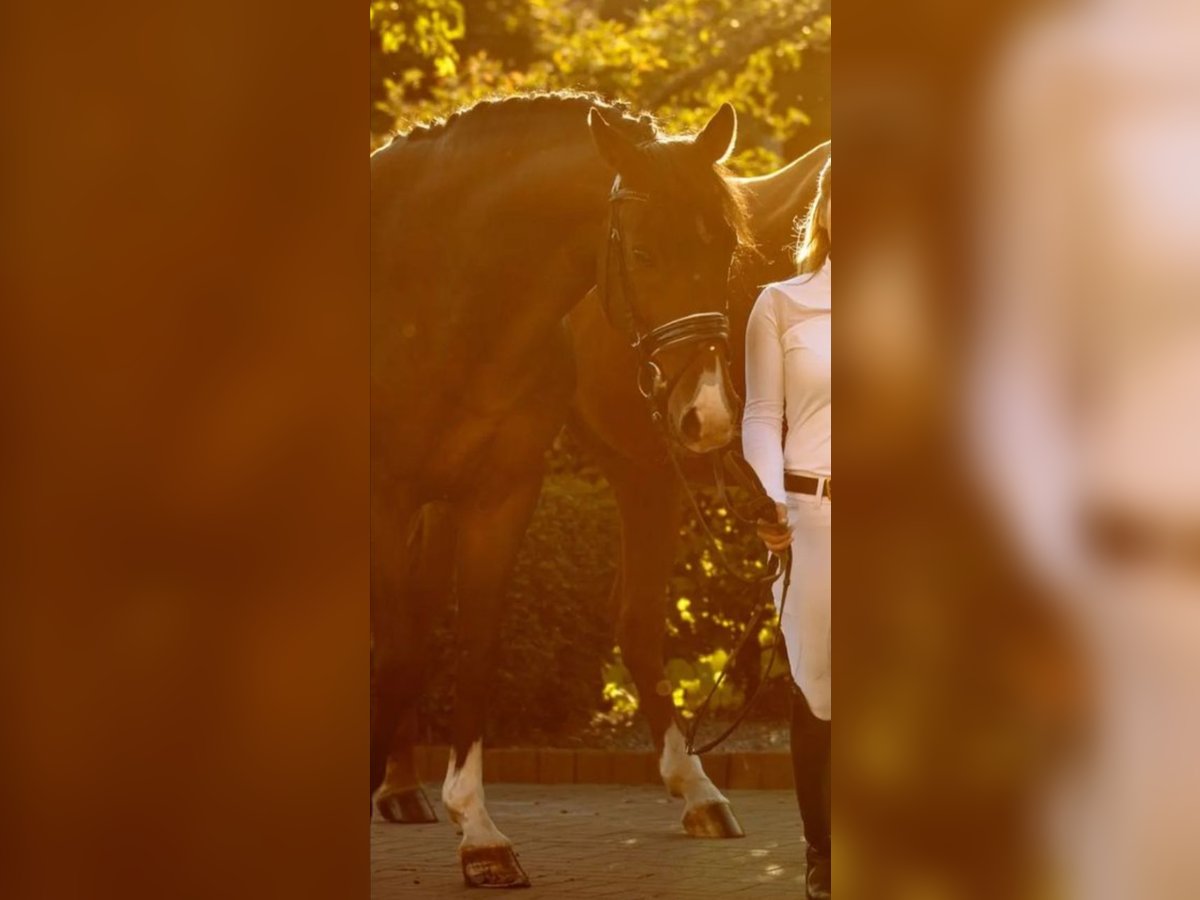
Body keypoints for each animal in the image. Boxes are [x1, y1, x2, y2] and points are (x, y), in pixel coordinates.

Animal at [369, 93, 753, 888]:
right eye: (643, 254)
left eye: (727, 249)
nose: (707, 414)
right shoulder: (386, 495)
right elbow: (392, 653)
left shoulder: (498, 497)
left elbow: (472, 645)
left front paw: (480, 834)